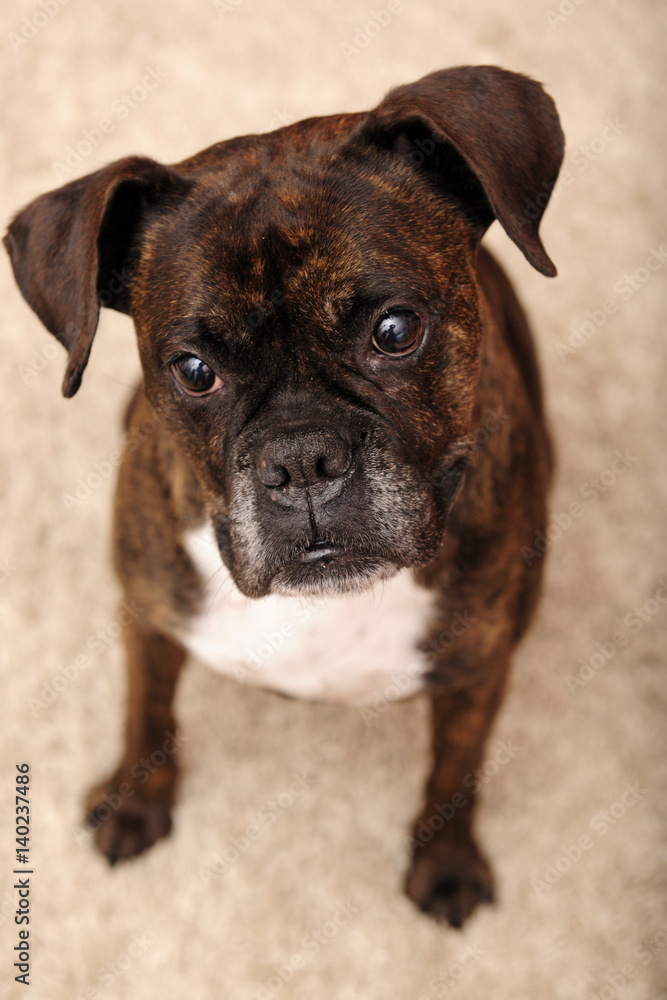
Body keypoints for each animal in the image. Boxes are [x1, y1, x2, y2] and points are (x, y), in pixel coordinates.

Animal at [3, 64, 564, 928]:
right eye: (193, 371)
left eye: (395, 330)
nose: (301, 460)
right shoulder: (149, 617)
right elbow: (146, 713)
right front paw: (135, 800)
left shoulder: (480, 668)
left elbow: (453, 770)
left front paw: (445, 863)